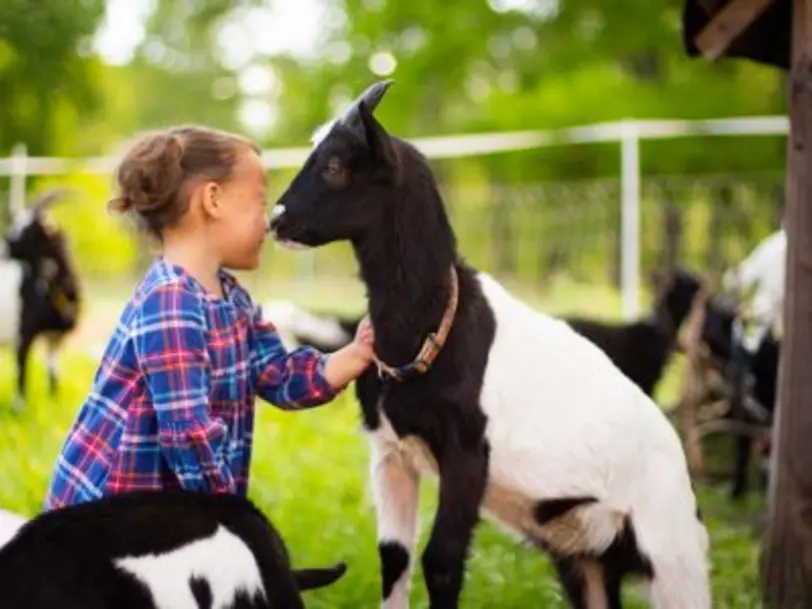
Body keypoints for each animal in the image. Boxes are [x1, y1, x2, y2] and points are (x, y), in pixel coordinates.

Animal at [0, 188, 81, 410]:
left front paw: (54, 404)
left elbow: (53, 375)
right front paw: (19, 408)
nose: (4, 248)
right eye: (15, 224)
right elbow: (21, 368)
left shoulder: (55, 337)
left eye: (31, 230)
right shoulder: (23, 333)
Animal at [268, 81, 712, 608]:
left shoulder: (467, 452)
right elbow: (394, 558)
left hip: (672, 553)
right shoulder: (391, 452)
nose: (275, 220)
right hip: (585, 554)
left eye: (335, 165)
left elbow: (441, 562)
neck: (435, 326)